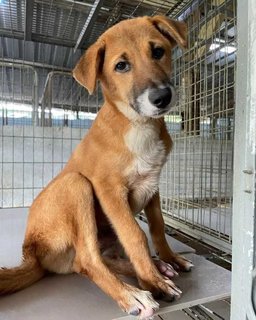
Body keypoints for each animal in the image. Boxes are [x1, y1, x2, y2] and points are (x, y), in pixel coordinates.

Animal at [0, 15, 192, 320]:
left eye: (158, 51)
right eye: (121, 66)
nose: (162, 97)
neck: (137, 125)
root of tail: (31, 254)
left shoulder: (153, 186)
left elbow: (158, 227)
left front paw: (168, 259)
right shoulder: (109, 190)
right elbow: (136, 235)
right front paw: (153, 281)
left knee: (99, 259)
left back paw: (157, 267)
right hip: (75, 184)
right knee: (87, 259)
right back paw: (132, 293)